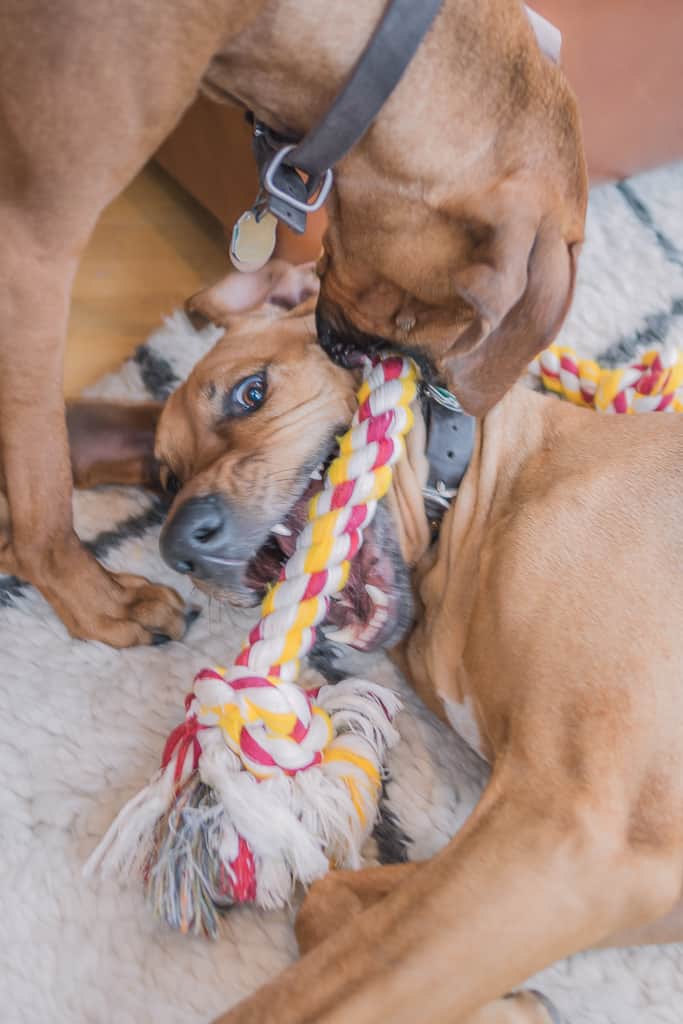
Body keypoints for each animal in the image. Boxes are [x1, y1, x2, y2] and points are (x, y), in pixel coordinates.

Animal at [1, 0, 589, 638]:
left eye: (251, 395)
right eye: (171, 482)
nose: (180, 542)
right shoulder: (30, 251)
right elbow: (44, 490)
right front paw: (98, 602)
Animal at [69, 266, 683, 1024]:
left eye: (251, 393)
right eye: (166, 479)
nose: (179, 544)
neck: (485, 496)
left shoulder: (566, 829)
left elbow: (330, 984)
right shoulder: (619, 868)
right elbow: (329, 907)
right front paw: (512, 1007)